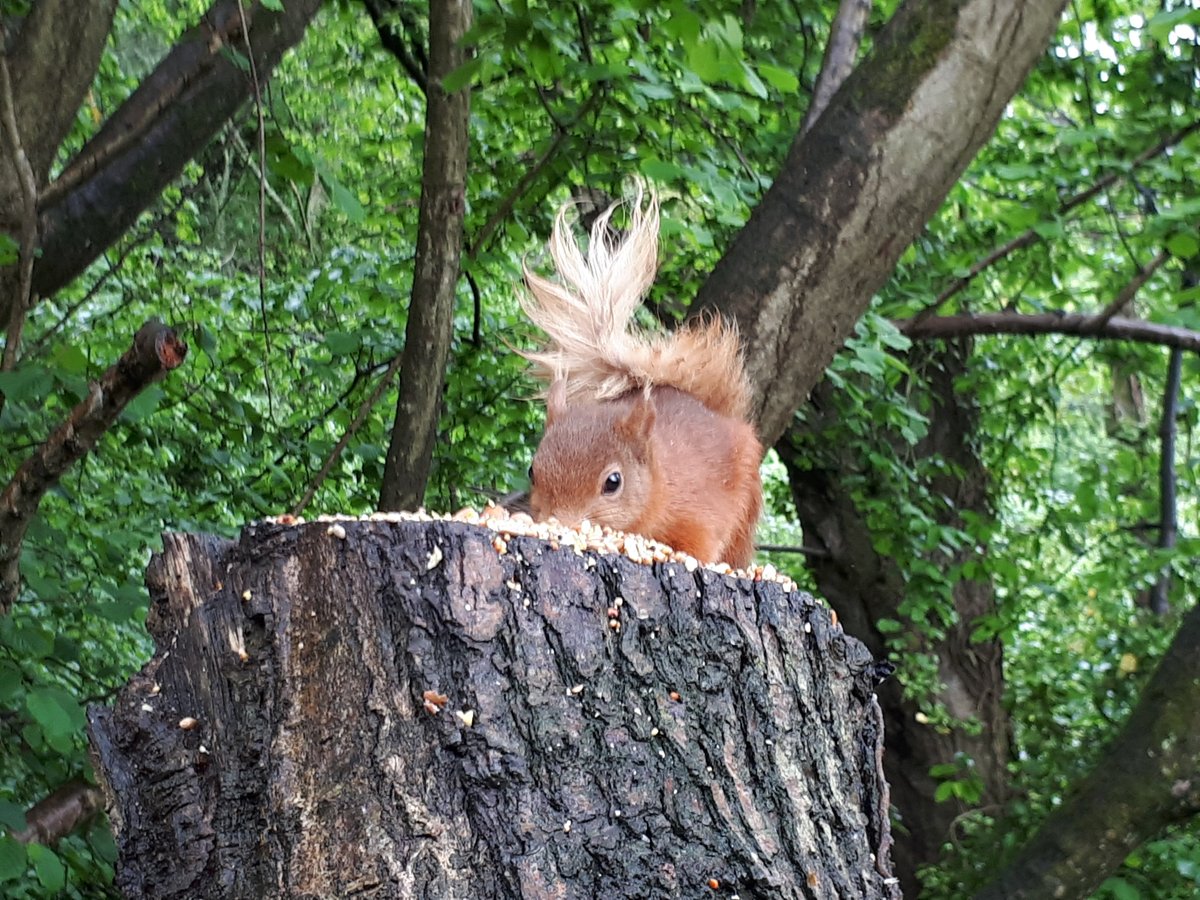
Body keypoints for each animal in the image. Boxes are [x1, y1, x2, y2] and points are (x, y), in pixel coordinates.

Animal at [523, 190, 763, 571]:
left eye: (613, 482)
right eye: (532, 471)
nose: (560, 523)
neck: (661, 479)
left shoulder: (699, 514)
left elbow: (698, 543)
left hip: (745, 511)